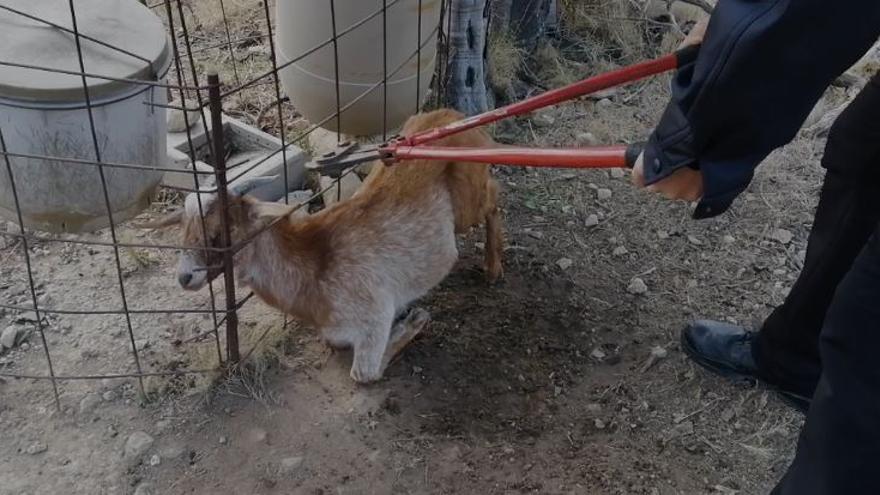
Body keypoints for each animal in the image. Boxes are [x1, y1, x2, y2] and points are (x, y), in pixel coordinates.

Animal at [150, 109, 502, 384]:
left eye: (218, 233)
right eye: (184, 230)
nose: (185, 277)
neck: (314, 270)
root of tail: (453, 116)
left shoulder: (374, 314)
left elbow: (363, 374)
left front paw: (415, 317)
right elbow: (337, 344)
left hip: (467, 203)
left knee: (494, 195)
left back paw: (493, 267)